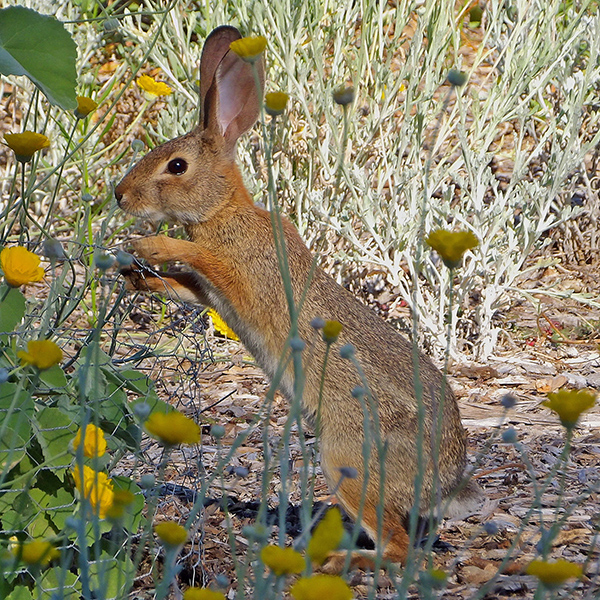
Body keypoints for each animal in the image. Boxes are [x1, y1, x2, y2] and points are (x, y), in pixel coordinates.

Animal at [116, 24, 482, 572]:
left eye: (176, 166)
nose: (119, 196)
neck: (222, 212)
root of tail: (443, 482)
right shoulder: (210, 294)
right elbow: (185, 289)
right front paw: (133, 275)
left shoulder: (241, 275)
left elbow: (199, 258)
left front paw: (151, 246)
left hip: (345, 460)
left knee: (396, 547)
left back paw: (340, 561)